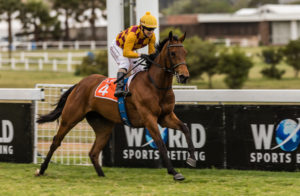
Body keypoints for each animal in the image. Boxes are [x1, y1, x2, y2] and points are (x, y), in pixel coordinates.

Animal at [35, 31, 197, 181]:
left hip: (104, 127)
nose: (184, 76)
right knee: (56, 141)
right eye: (173, 53)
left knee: (93, 152)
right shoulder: (149, 118)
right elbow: (160, 143)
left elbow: (185, 129)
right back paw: (41, 170)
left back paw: (102, 175)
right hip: (71, 117)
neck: (155, 85)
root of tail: (79, 84)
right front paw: (174, 172)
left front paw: (192, 159)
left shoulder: (166, 117)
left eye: (185, 53)